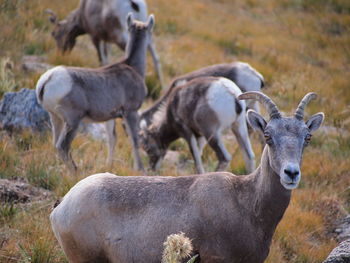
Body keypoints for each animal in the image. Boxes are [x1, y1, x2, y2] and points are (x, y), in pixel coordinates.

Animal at [36, 13, 154, 171]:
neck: (134, 68)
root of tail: (48, 79)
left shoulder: (110, 117)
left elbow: (112, 139)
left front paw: (109, 166)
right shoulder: (130, 112)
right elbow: (134, 140)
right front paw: (140, 169)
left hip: (55, 118)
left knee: (56, 144)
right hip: (73, 122)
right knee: (62, 147)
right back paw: (75, 171)